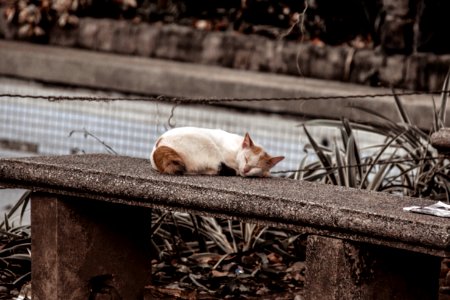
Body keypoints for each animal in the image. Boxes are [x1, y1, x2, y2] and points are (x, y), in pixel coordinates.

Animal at [151, 126, 284, 177]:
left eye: (256, 166)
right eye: (246, 159)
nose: (246, 169)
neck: (237, 148)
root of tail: (160, 145)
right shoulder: (225, 155)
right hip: (208, 146)